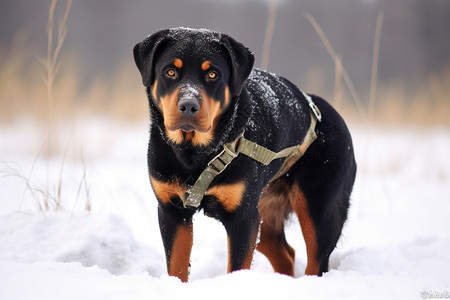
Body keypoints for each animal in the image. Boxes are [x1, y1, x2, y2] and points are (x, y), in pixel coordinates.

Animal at [133, 27, 356, 282]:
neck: (195, 154)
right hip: (264, 215)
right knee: (286, 255)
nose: (188, 105)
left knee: (316, 261)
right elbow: (176, 267)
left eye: (212, 74)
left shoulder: (242, 218)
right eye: (170, 72)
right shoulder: (172, 212)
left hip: (318, 210)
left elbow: (237, 267)